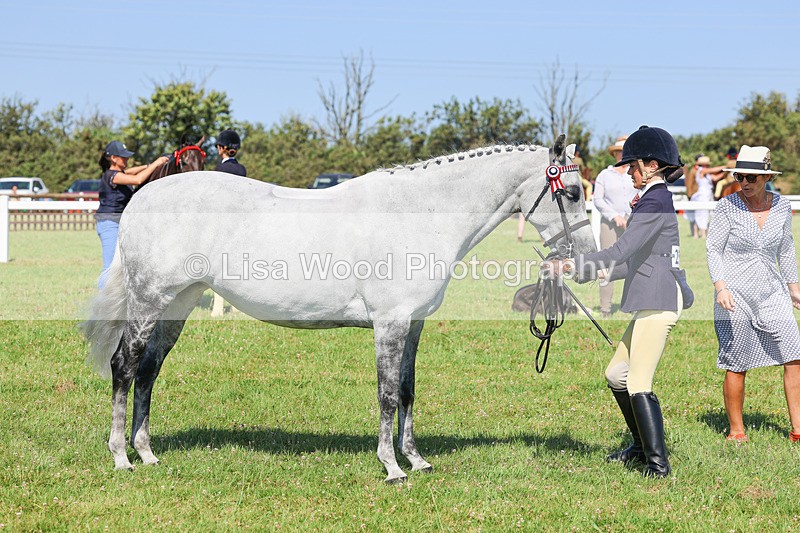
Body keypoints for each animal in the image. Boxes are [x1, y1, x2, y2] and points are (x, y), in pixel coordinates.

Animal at [82, 136, 597, 483]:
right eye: (572, 193)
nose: (589, 263)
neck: (420, 212)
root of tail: (143, 198)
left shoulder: (413, 324)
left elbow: (407, 391)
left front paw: (417, 460)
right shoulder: (389, 324)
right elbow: (387, 394)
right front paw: (392, 467)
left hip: (179, 304)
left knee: (149, 370)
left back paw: (147, 453)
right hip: (149, 301)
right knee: (125, 366)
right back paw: (121, 457)